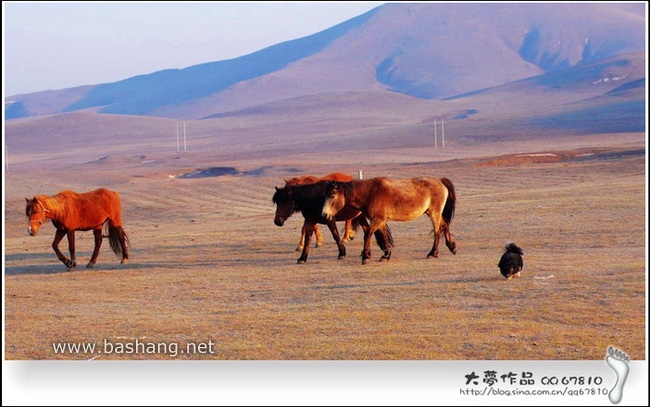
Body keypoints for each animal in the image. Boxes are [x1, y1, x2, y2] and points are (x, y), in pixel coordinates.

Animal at [320, 177, 456, 266]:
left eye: (332, 196)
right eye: (324, 195)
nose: (324, 214)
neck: (370, 193)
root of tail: (440, 181)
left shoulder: (377, 219)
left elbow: (368, 234)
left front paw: (366, 256)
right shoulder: (381, 220)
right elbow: (384, 236)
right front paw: (386, 255)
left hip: (434, 213)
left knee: (437, 230)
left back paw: (432, 253)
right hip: (431, 212)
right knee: (444, 225)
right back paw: (452, 246)